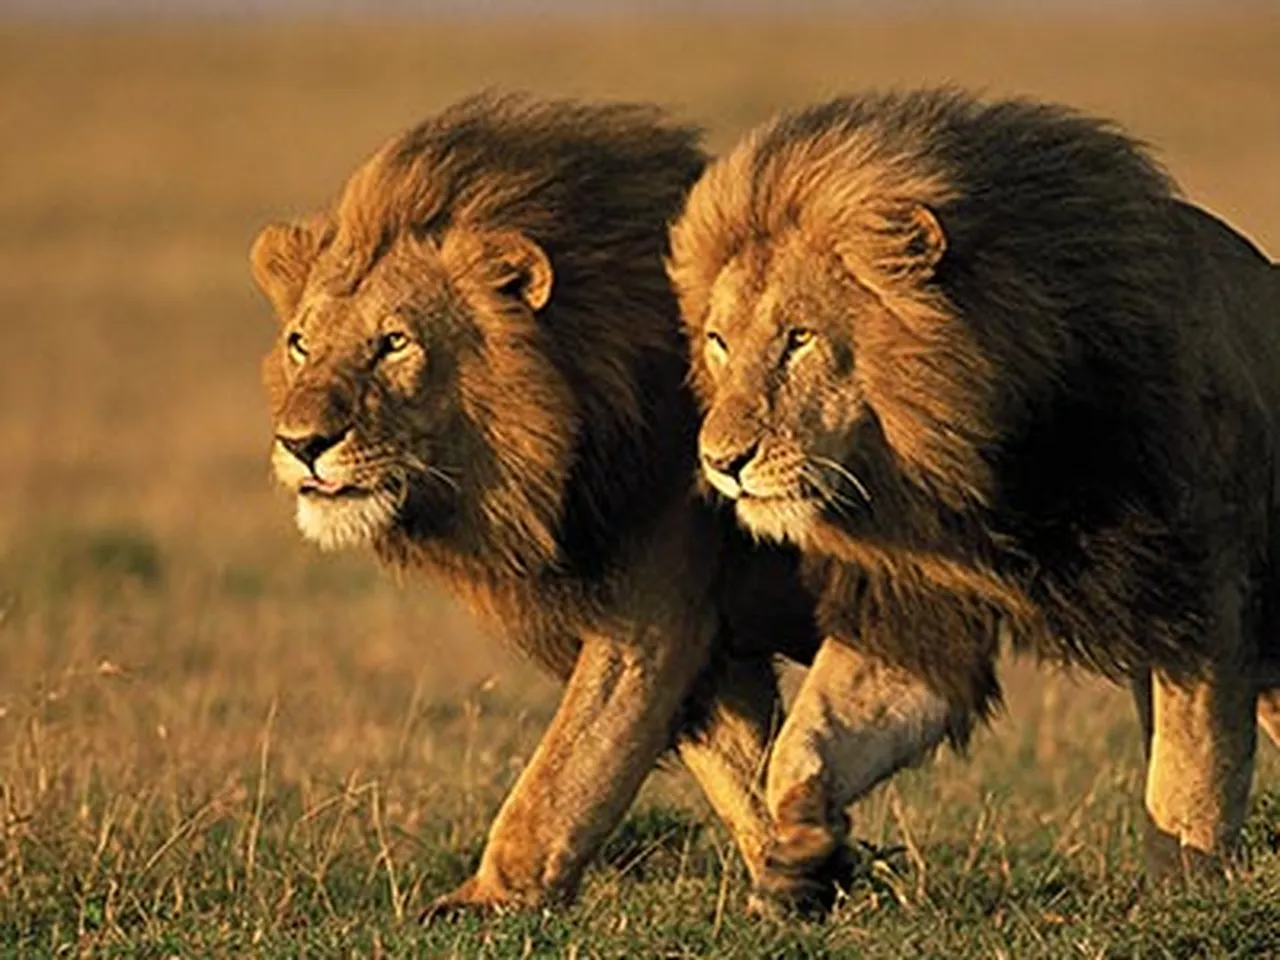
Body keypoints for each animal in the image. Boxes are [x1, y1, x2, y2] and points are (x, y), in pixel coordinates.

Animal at [249, 93, 826, 915]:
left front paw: (486, 899)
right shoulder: (713, 645)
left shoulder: (652, 617)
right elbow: (747, 771)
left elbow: (565, 774)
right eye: (300, 343)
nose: (302, 443)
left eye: (394, 343)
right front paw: (807, 882)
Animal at [667, 88, 1280, 887]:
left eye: (798, 338)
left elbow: (1188, 779)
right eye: (719, 342)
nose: (720, 460)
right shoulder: (920, 605)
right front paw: (802, 849)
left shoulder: (1203, 592)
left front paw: (1188, 892)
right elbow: (810, 743)